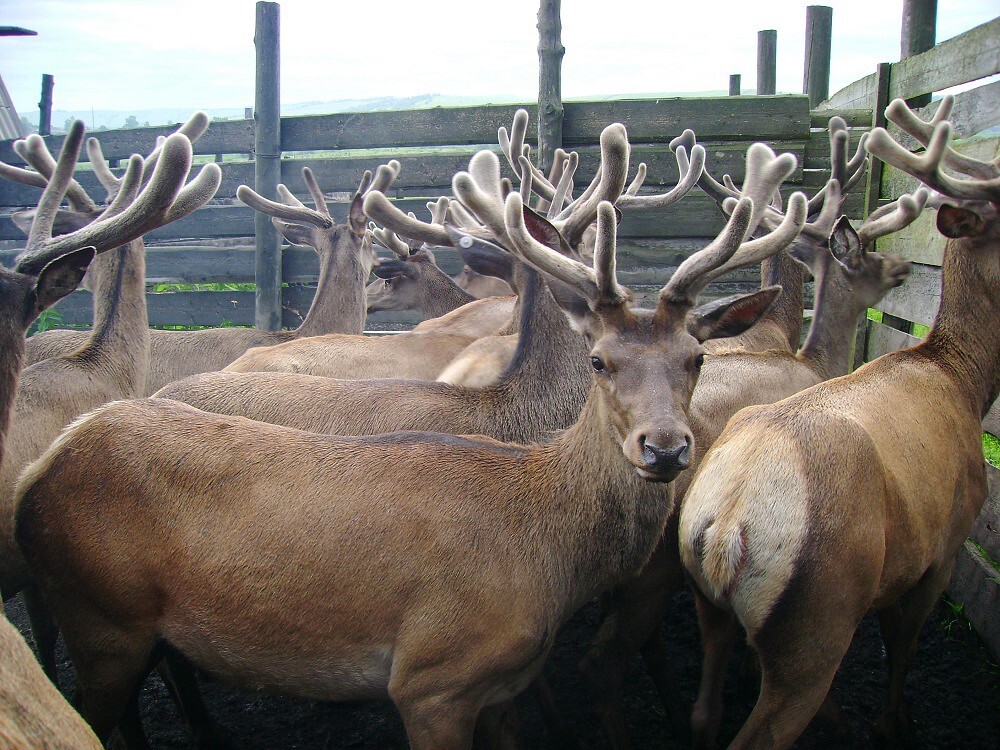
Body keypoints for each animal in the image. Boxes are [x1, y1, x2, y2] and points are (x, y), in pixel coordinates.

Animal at [676, 95, 996, 750]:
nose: (901, 267)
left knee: (704, 710)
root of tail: (725, 530)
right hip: (817, 623)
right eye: (868, 255)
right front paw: (895, 724)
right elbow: (904, 646)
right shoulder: (945, 547)